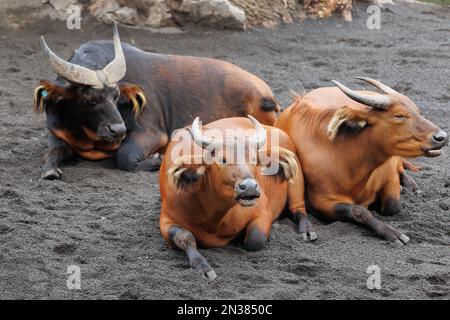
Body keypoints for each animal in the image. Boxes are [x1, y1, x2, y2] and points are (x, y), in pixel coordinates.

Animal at [35, 24, 280, 180]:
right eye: (91, 99)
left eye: (116, 96)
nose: (118, 130)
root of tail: (266, 93)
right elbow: (53, 150)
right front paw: (50, 170)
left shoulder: (152, 133)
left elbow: (124, 157)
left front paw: (156, 159)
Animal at [160, 116, 314, 278]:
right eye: (222, 159)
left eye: (254, 159)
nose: (250, 187)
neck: (212, 218)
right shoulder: (166, 220)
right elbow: (185, 236)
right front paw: (202, 266)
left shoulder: (262, 210)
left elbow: (255, 238)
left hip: (296, 181)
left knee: (298, 209)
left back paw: (305, 230)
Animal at [276, 78, 448, 248]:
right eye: (399, 115)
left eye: (417, 111)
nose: (442, 137)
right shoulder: (321, 202)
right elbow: (359, 211)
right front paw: (391, 232)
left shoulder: (389, 172)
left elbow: (393, 205)